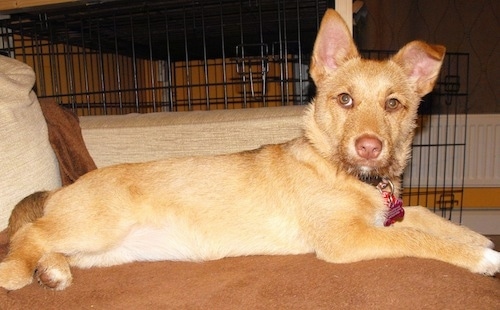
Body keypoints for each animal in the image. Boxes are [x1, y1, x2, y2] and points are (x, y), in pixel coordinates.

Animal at [0, 9, 500, 290]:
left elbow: (425, 216)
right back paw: (18, 274)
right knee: (25, 237)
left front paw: (476, 240)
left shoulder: (385, 216)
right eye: (345, 100)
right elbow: (417, 239)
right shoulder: (347, 238)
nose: (369, 147)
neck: (342, 171)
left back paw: (53, 271)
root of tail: (58, 191)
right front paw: (484, 258)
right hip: (96, 225)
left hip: (104, 247)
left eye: (394, 104)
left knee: (43, 242)